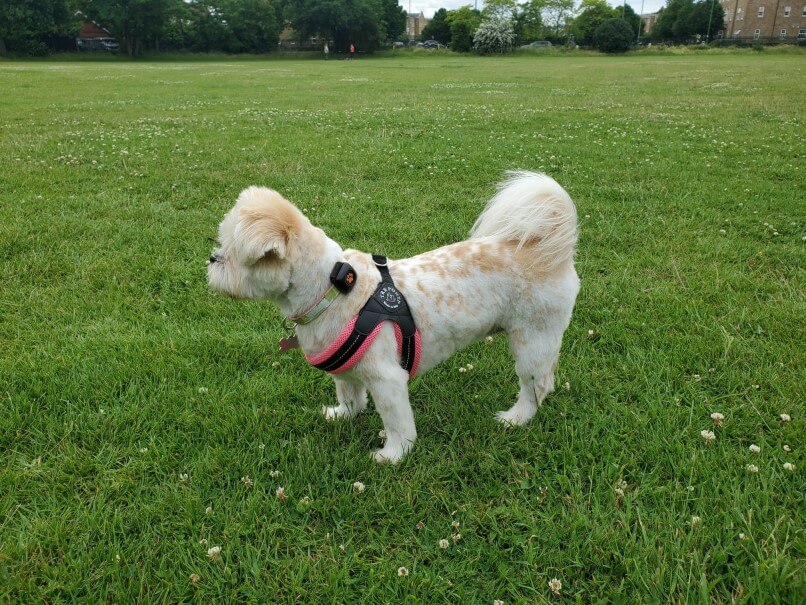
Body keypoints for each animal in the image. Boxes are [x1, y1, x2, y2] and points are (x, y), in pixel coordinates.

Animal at [208, 172, 580, 464]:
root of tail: (544, 248)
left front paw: (393, 455)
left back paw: (516, 419)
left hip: (533, 339)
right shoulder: (346, 368)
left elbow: (397, 423)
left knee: (536, 386)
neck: (335, 291)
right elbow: (349, 394)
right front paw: (343, 415)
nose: (212, 258)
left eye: (231, 255)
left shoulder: (387, 379)